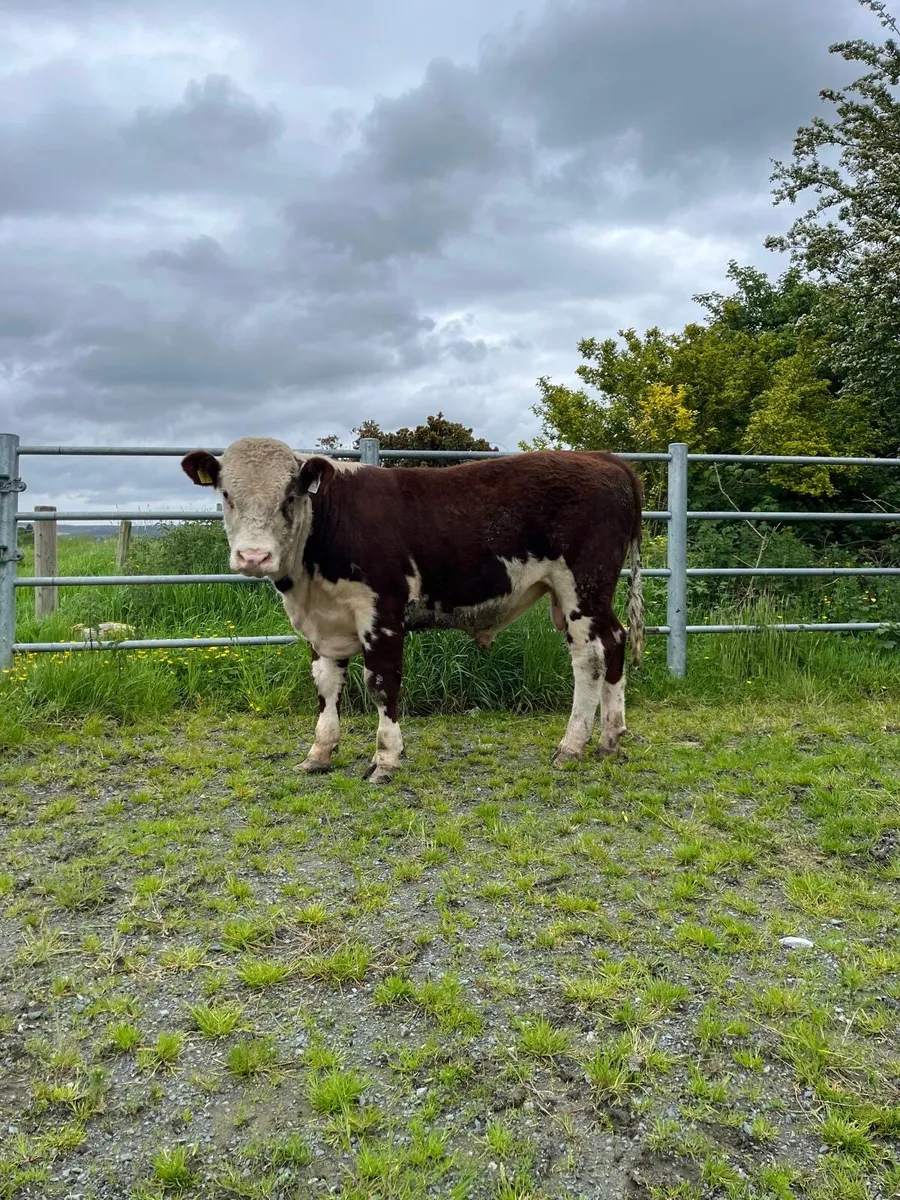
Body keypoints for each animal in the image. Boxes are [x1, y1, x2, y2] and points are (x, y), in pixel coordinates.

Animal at [181, 438, 644, 783]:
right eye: (227, 495)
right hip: (582, 597)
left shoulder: (382, 615)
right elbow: (326, 687)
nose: (253, 557)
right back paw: (610, 738)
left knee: (589, 659)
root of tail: (602, 458)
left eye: (289, 495)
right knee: (615, 641)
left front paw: (386, 759)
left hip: (582, 587)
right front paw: (319, 753)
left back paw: (572, 746)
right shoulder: (322, 625)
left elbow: (381, 684)